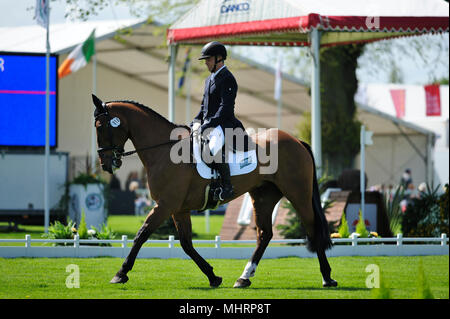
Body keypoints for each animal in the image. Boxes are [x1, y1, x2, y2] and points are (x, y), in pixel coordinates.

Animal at [92, 94, 338, 288]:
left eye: (100, 126)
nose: (106, 164)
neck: (164, 150)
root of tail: (296, 140)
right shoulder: (178, 209)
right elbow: (186, 243)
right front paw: (213, 276)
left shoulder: (165, 204)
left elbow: (141, 235)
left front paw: (120, 273)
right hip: (263, 197)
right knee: (264, 234)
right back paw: (244, 278)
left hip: (298, 194)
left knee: (312, 229)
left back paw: (327, 278)